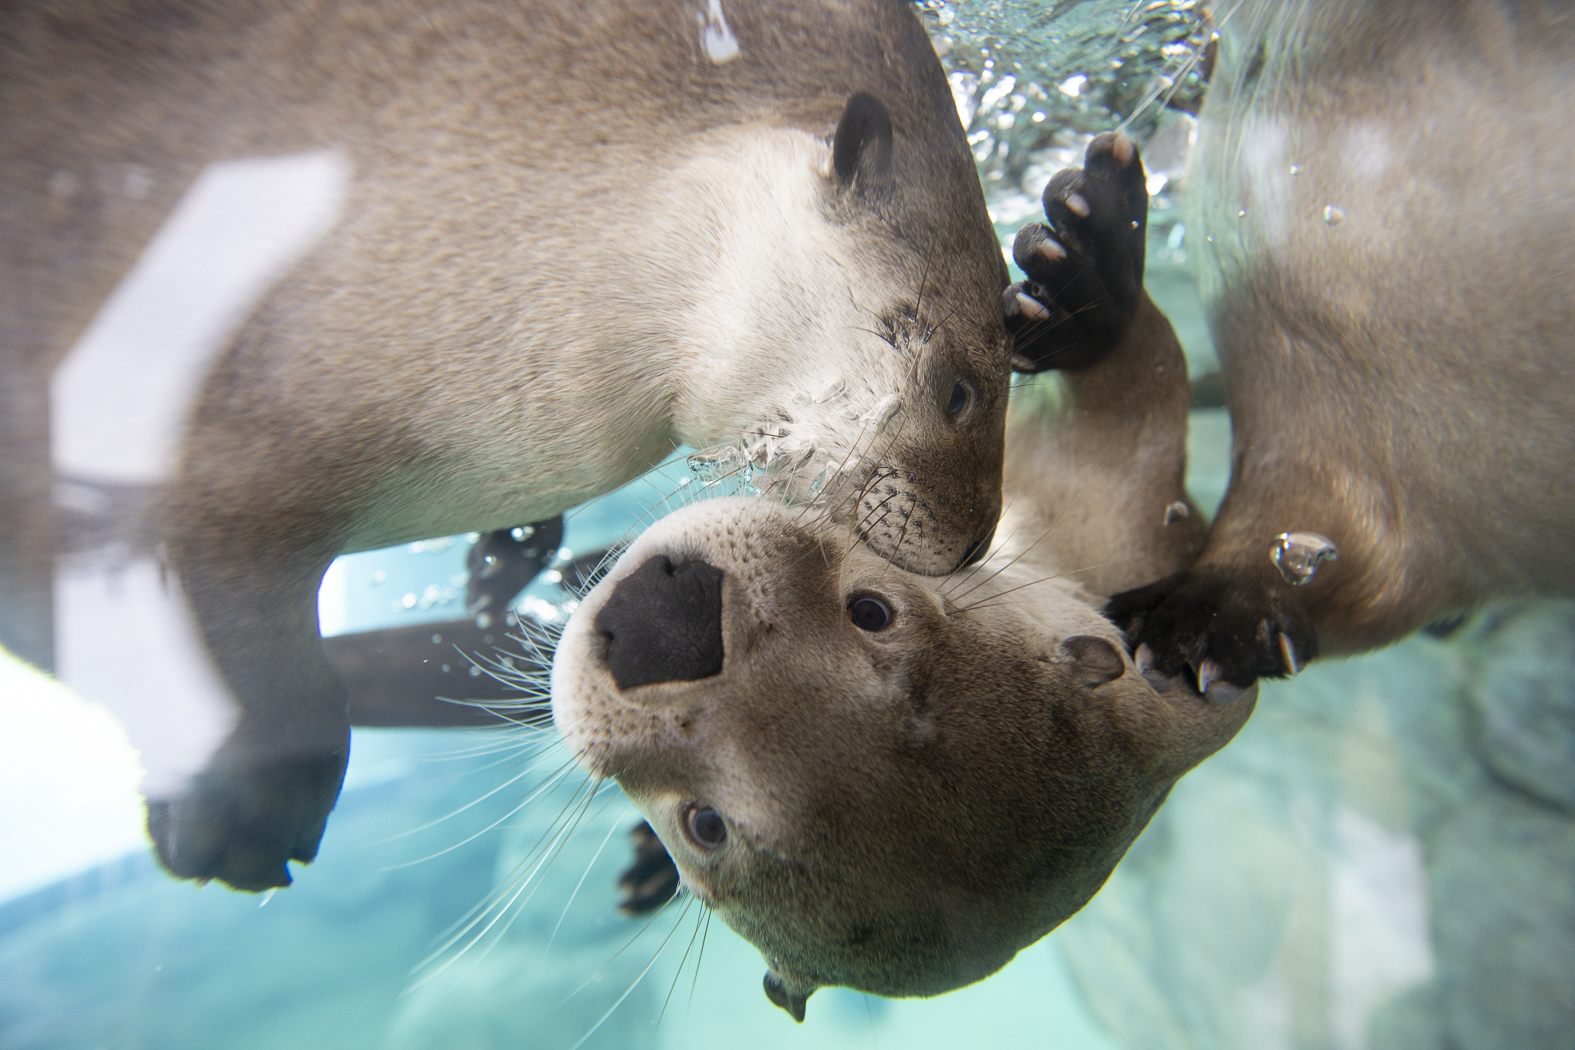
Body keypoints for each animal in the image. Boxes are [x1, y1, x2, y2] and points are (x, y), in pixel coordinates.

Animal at [551, 134, 1254, 1016]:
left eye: (703, 825)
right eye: (874, 612)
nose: (659, 626)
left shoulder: (1129, 552)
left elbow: (1142, 416)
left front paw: (1090, 274)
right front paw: (1086, 270)